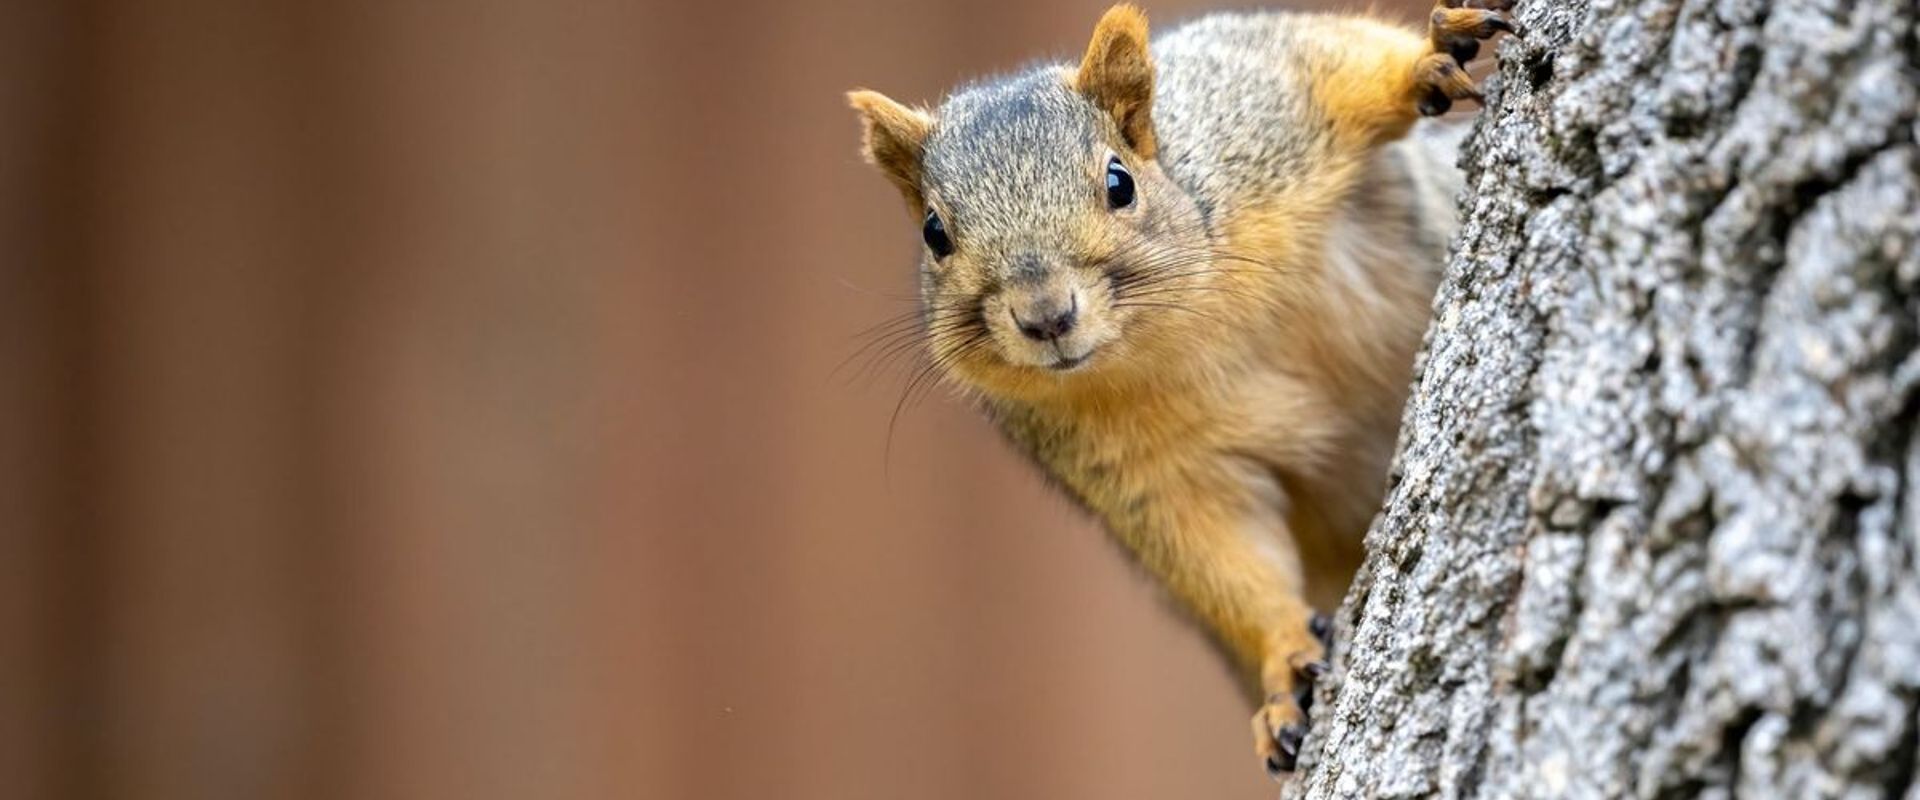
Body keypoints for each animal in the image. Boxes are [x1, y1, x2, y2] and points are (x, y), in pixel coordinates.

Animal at [847, 1, 1512, 780]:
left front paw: (1433, 55)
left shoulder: (1259, 112)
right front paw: (1286, 666)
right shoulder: (1151, 475)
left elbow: (1334, 62)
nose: (1046, 317)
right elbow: (1225, 559)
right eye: (934, 232)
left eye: (1119, 182)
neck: (1176, 331)